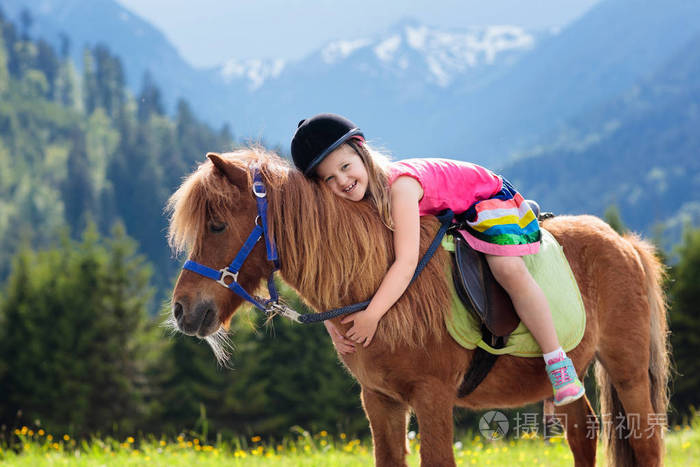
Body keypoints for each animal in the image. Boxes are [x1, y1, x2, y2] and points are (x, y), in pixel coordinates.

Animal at [167, 147, 670, 467]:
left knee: (646, 446)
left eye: (216, 225)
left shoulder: (433, 397)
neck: (382, 292)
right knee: (583, 438)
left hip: (626, 372)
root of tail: (623, 242)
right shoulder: (381, 401)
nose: (182, 310)